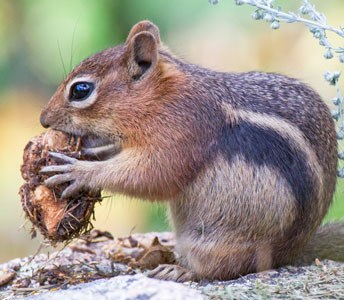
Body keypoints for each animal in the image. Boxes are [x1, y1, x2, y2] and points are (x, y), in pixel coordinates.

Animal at [39, 20, 342, 282]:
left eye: (80, 90)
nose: (44, 119)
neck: (162, 97)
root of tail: (292, 253)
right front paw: (91, 153)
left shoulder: (181, 134)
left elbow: (152, 176)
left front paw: (78, 171)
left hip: (216, 242)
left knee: (223, 268)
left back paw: (179, 270)